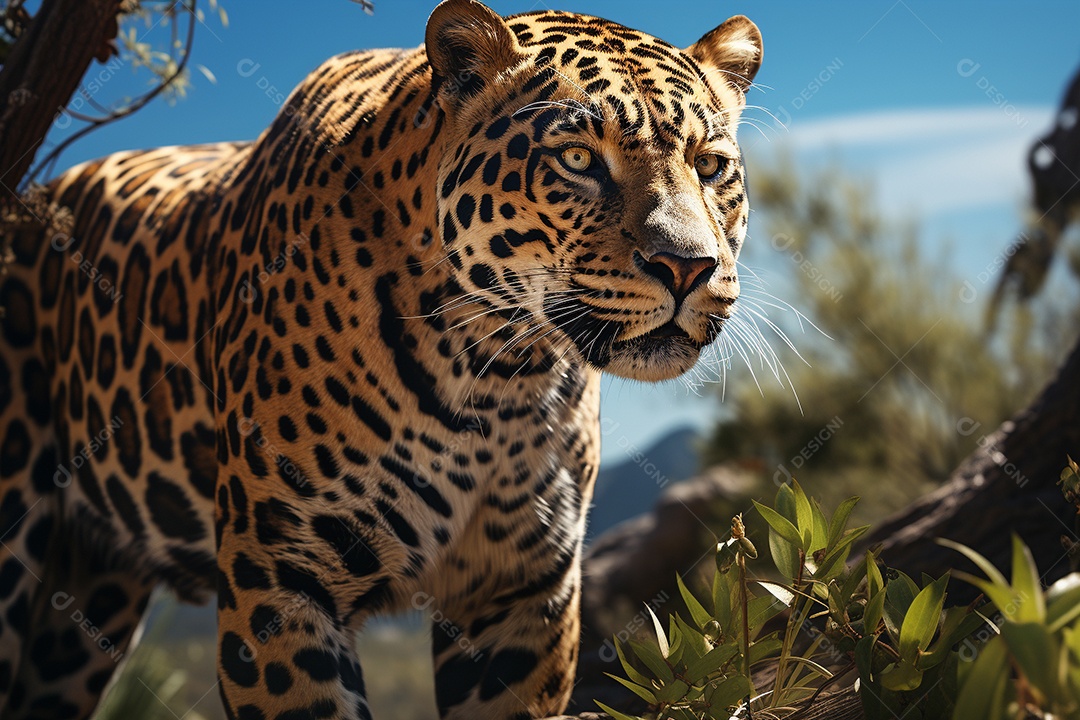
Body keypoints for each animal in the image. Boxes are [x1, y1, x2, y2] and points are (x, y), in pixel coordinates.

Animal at [0, 1, 762, 717]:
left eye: (710, 166)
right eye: (577, 161)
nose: (688, 267)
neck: (499, 372)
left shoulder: (521, 594)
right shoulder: (282, 579)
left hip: (86, 608)